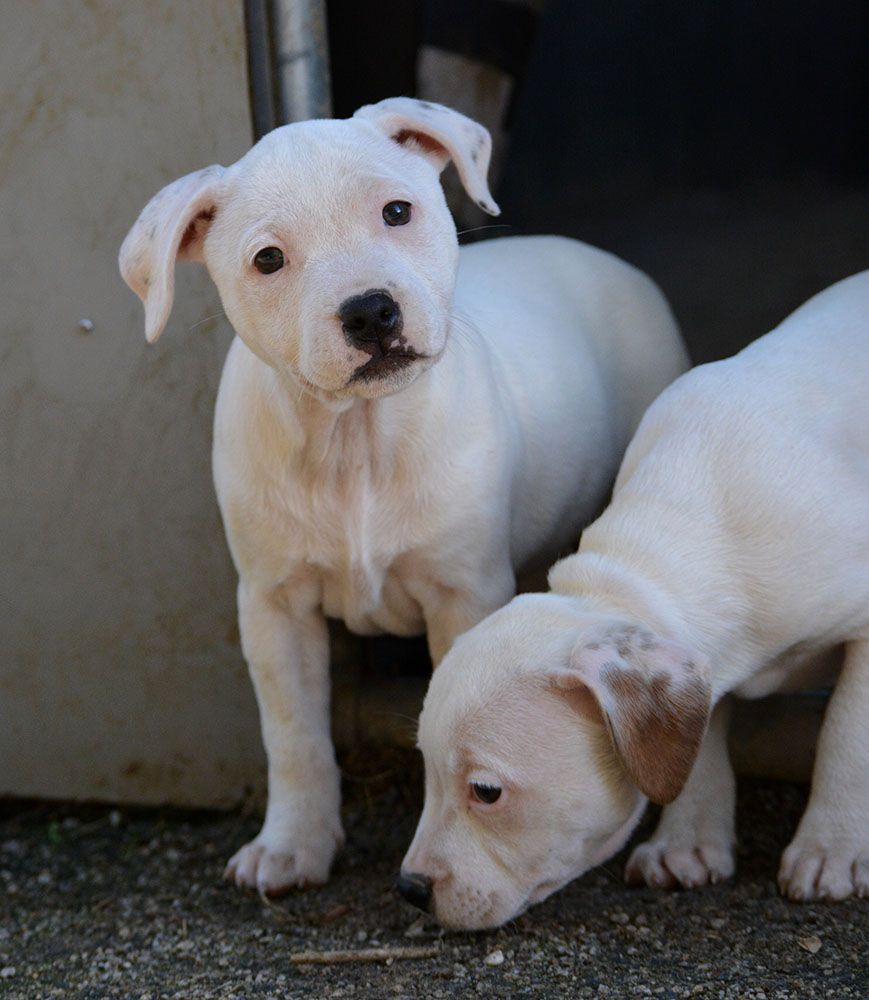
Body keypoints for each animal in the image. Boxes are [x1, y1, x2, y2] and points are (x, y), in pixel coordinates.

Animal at [120, 97, 684, 900]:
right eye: (268, 259)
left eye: (396, 211)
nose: (369, 312)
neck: (354, 440)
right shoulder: (272, 607)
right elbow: (293, 735)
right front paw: (291, 846)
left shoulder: (463, 592)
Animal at [404, 268, 868, 928]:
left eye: (486, 791)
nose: (408, 890)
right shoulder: (693, 663)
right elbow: (701, 738)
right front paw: (686, 844)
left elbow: (849, 733)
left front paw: (832, 851)